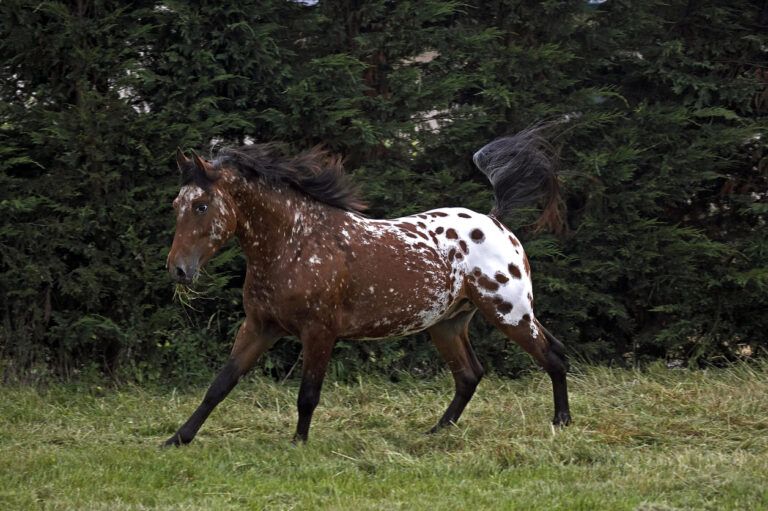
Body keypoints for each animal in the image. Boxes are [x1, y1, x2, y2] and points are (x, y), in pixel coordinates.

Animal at [164, 125, 571, 446]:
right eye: (175, 204)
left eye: (201, 206)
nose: (179, 270)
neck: (296, 242)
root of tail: (496, 222)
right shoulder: (260, 326)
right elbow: (220, 384)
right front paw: (177, 439)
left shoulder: (319, 332)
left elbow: (307, 395)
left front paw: (298, 444)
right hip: (448, 324)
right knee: (470, 375)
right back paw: (436, 433)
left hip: (510, 312)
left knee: (553, 355)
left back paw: (561, 423)